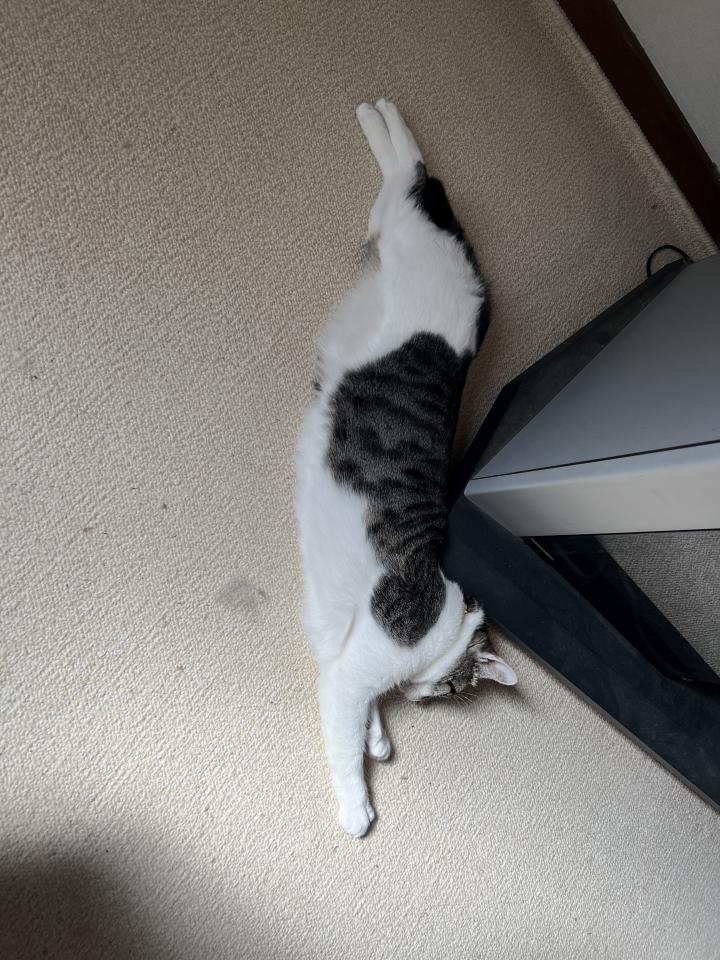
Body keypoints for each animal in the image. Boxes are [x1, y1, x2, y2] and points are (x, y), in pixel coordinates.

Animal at [296, 100, 517, 838]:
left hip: (396, 231)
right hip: (398, 227)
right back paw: (379, 113)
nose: (424, 698)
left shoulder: (347, 663)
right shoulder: (352, 674)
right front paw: (357, 806)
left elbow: (361, 718)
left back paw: (381, 117)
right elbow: (345, 733)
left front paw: (379, 737)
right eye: (455, 689)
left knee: (411, 176)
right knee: (411, 173)